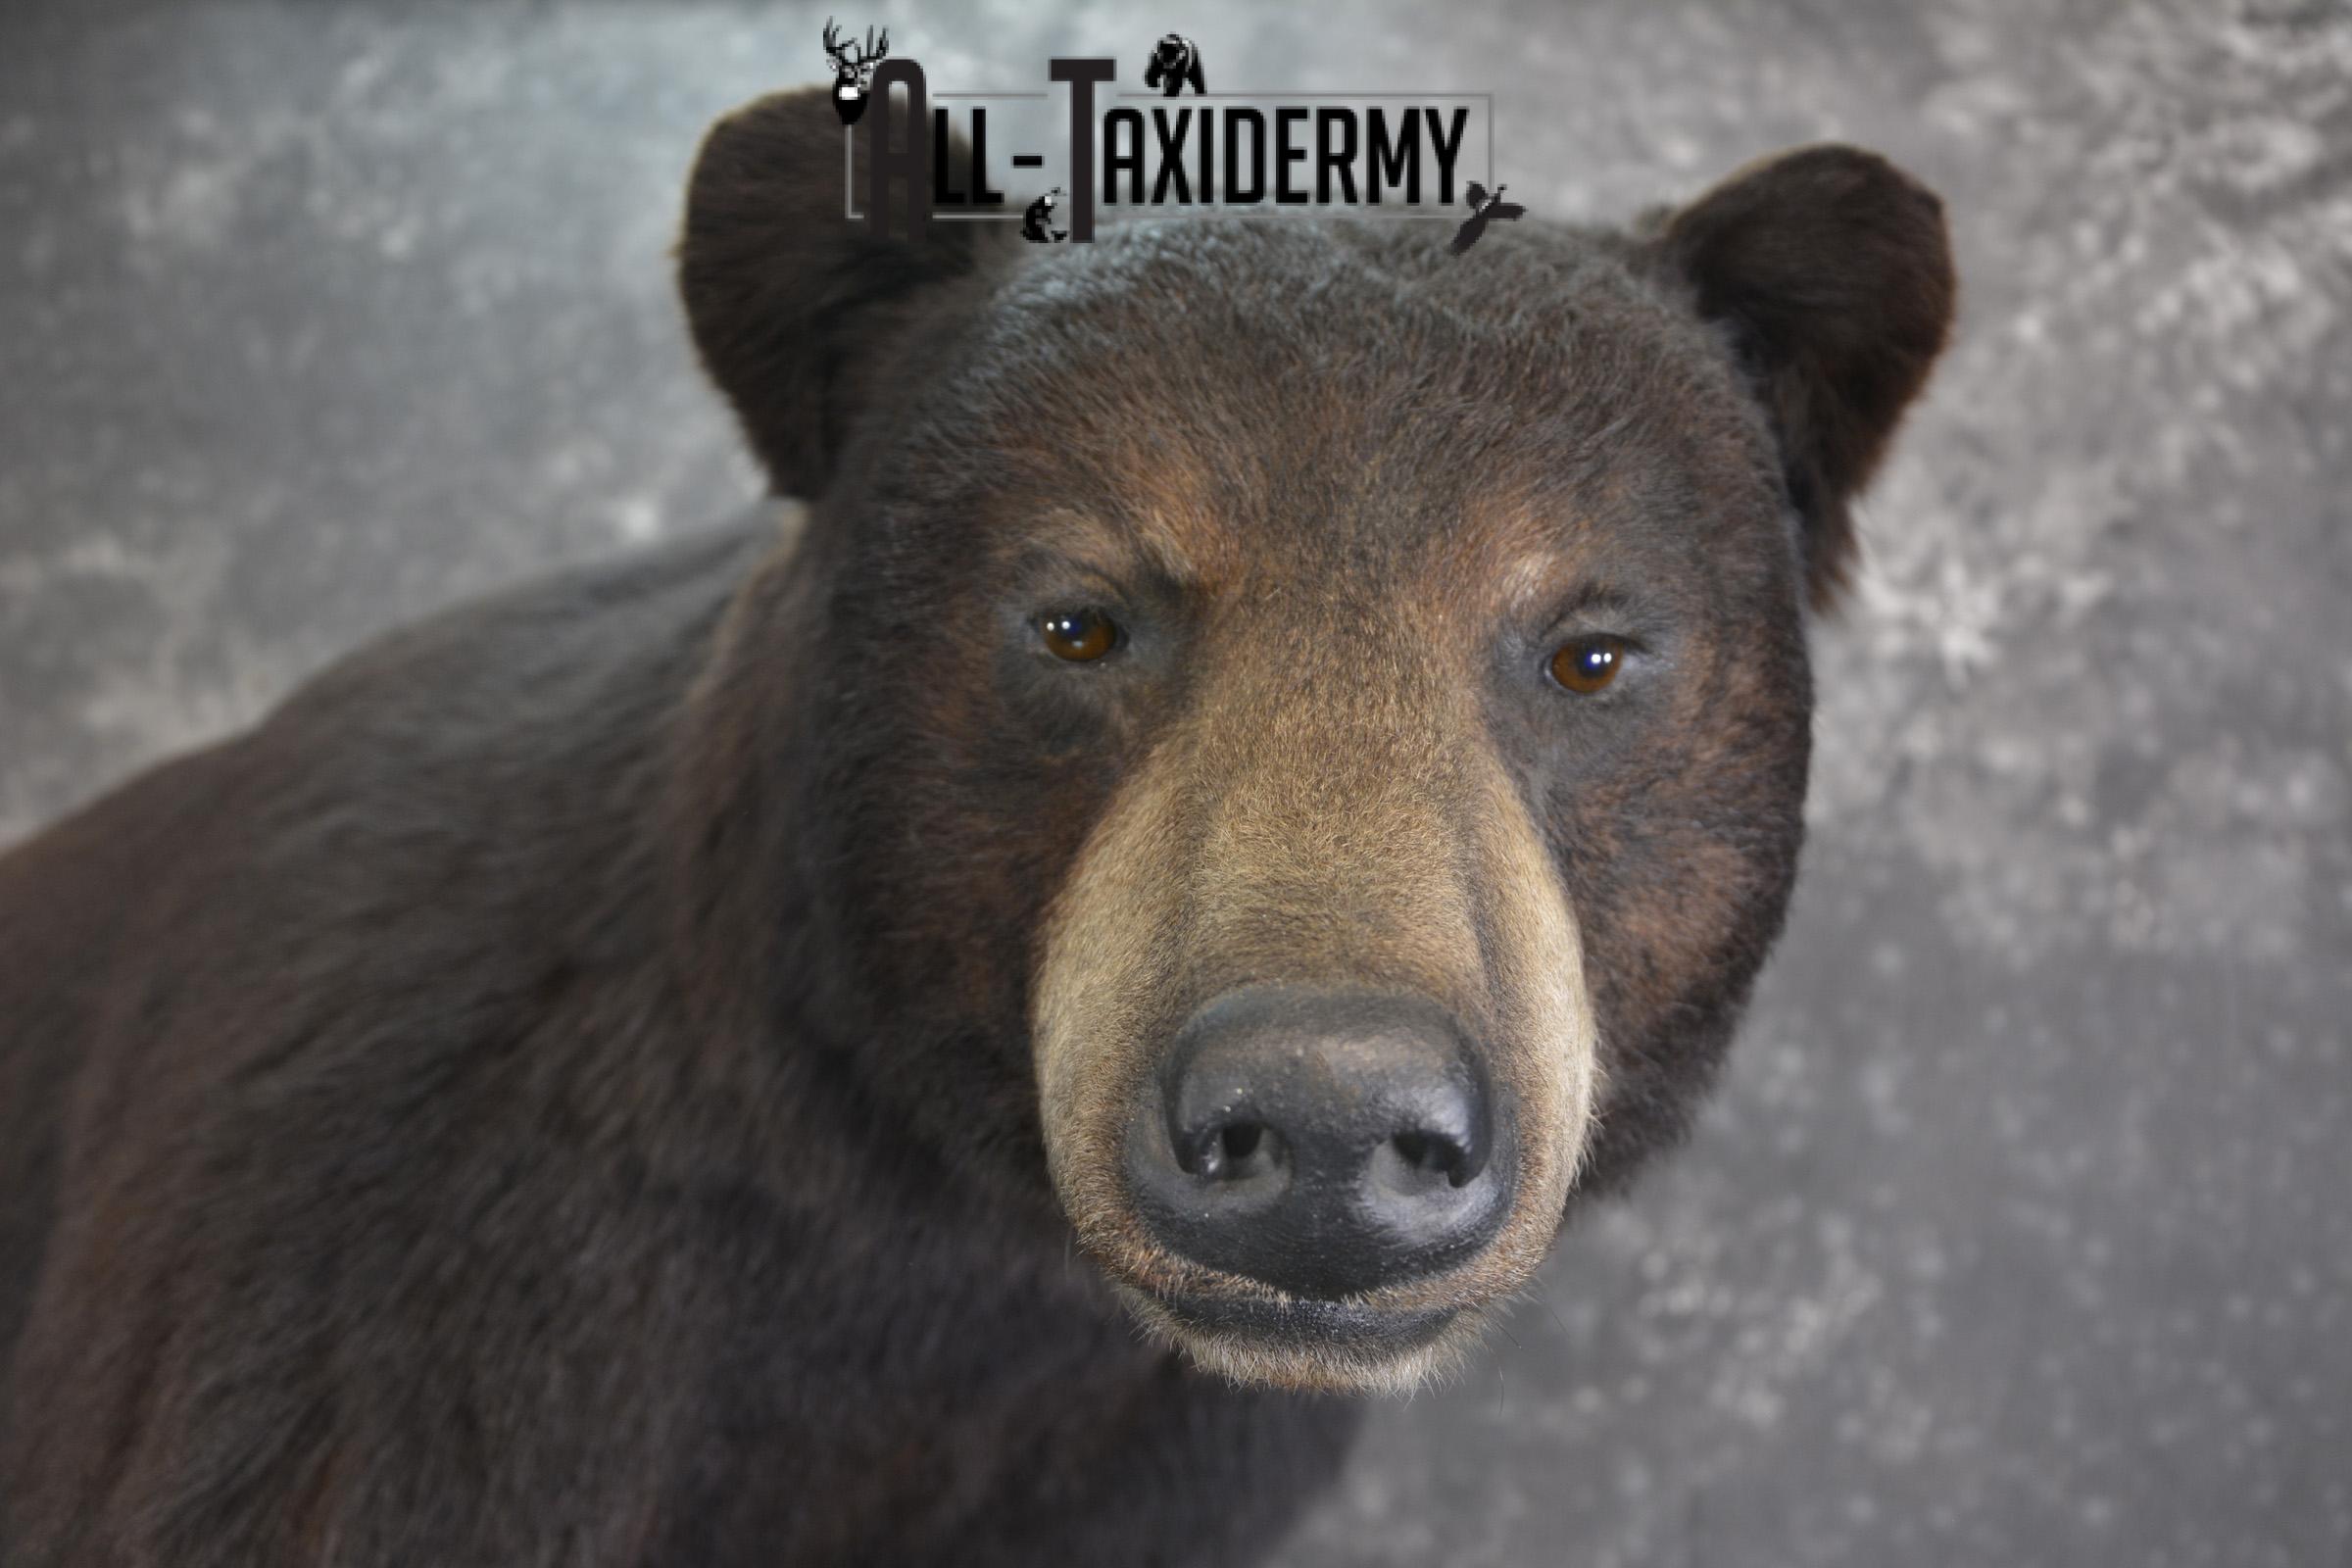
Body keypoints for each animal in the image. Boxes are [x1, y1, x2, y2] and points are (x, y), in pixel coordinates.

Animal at [0, 86, 1952, 1566]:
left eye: (1587, 648)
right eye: (1077, 617)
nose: (1328, 1117)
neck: (943, 1254)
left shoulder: (1138, 1468)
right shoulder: (381, 1300)